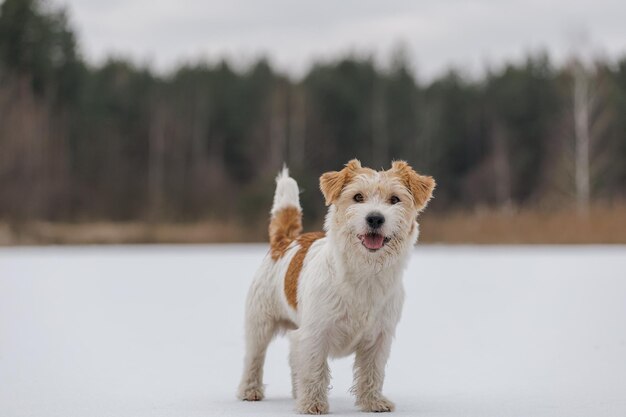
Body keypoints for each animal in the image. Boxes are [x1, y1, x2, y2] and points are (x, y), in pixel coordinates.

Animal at [238, 158, 434, 412]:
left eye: (394, 199)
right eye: (358, 197)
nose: (375, 218)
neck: (364, 273)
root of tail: (285, 241)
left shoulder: (379, 338)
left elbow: (372, 372)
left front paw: (373, 402)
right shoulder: (315, 334)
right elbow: (314, 370)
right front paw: (312, 404)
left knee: (293, 358)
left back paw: (296, 393)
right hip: (260, 323)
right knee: (254, 358)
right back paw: (250, 390)